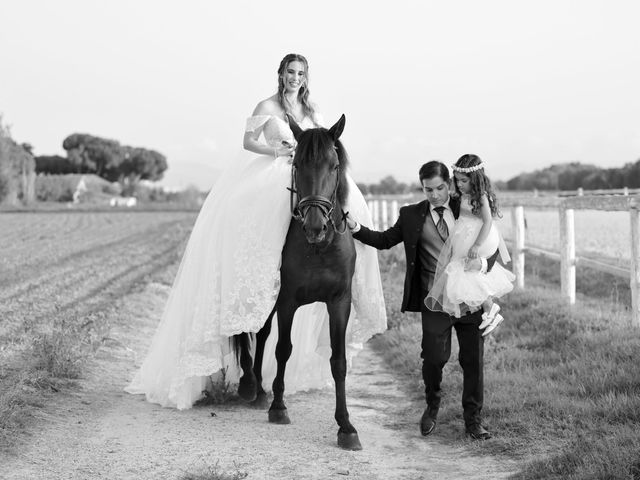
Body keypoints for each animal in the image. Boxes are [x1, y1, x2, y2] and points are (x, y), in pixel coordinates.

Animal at [231, 112, 362, 450]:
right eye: (297, 165)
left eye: (334, 165)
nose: (315, 226)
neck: (319, 247)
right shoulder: (287, 300)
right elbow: (283, 349)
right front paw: (279, 407)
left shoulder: (339, 302)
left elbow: (339, 361)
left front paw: (346, 426)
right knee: (254, 330)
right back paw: (251, 386)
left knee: (261, 333)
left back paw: (259, 391)